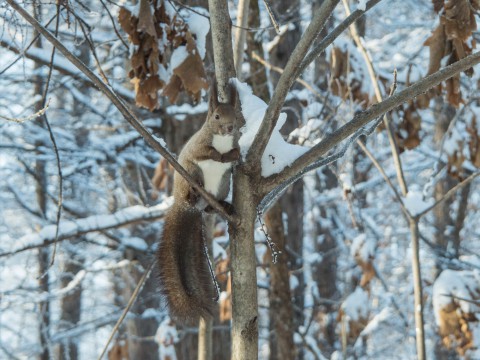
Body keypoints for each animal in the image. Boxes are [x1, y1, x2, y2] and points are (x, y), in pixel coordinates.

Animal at [158, 80, 240, 322]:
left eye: (236, 114)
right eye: (216, 116)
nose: (230, 127)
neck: (222, 140)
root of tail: (187, 207)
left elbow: (235, 152)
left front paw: (233, 155)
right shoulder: (198, 146)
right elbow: (206, 152)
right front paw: (219, 155)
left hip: (223, 185)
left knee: (211, 209)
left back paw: (223, 206)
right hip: (191, 174)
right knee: (193, 184)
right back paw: (193, 194)